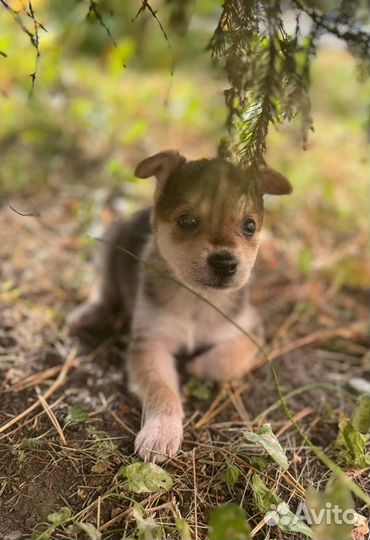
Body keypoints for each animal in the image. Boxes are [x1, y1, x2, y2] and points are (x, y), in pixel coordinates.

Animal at [67, 150, 292, 462]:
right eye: (187, 220)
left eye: (249, 226)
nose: (225, 263)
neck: (197, 297)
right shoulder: (151, 343)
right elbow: (162, 391)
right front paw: (160, 433)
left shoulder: (250, 330)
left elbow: (227, 362)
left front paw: (196, 365)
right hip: (107, 244)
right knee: (104, 289)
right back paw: (88, 314)